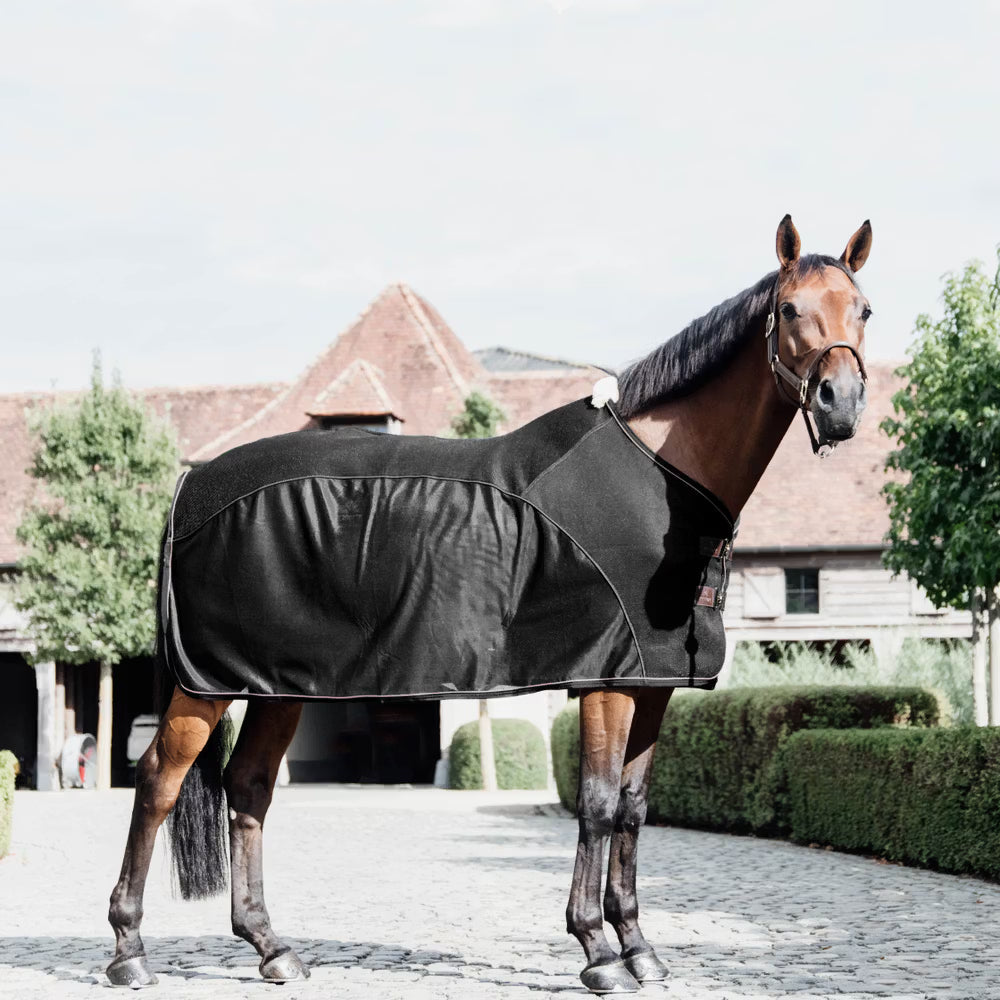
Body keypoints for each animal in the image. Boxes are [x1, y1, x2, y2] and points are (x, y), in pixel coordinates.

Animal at [106, 214, 873, 994]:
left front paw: (639, 948)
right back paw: (130, 951)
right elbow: (597, 804)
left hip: (277, 685)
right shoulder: (605, 682)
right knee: (159, 780)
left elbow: (632, 809)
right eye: (789, 309)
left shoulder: (652, 683)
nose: (840, 404)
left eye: (863, 309)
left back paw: (271, 948)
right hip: (207, 686)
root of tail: (189, 489)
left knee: (250, 787)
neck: (659, 476)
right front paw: (597, 950)